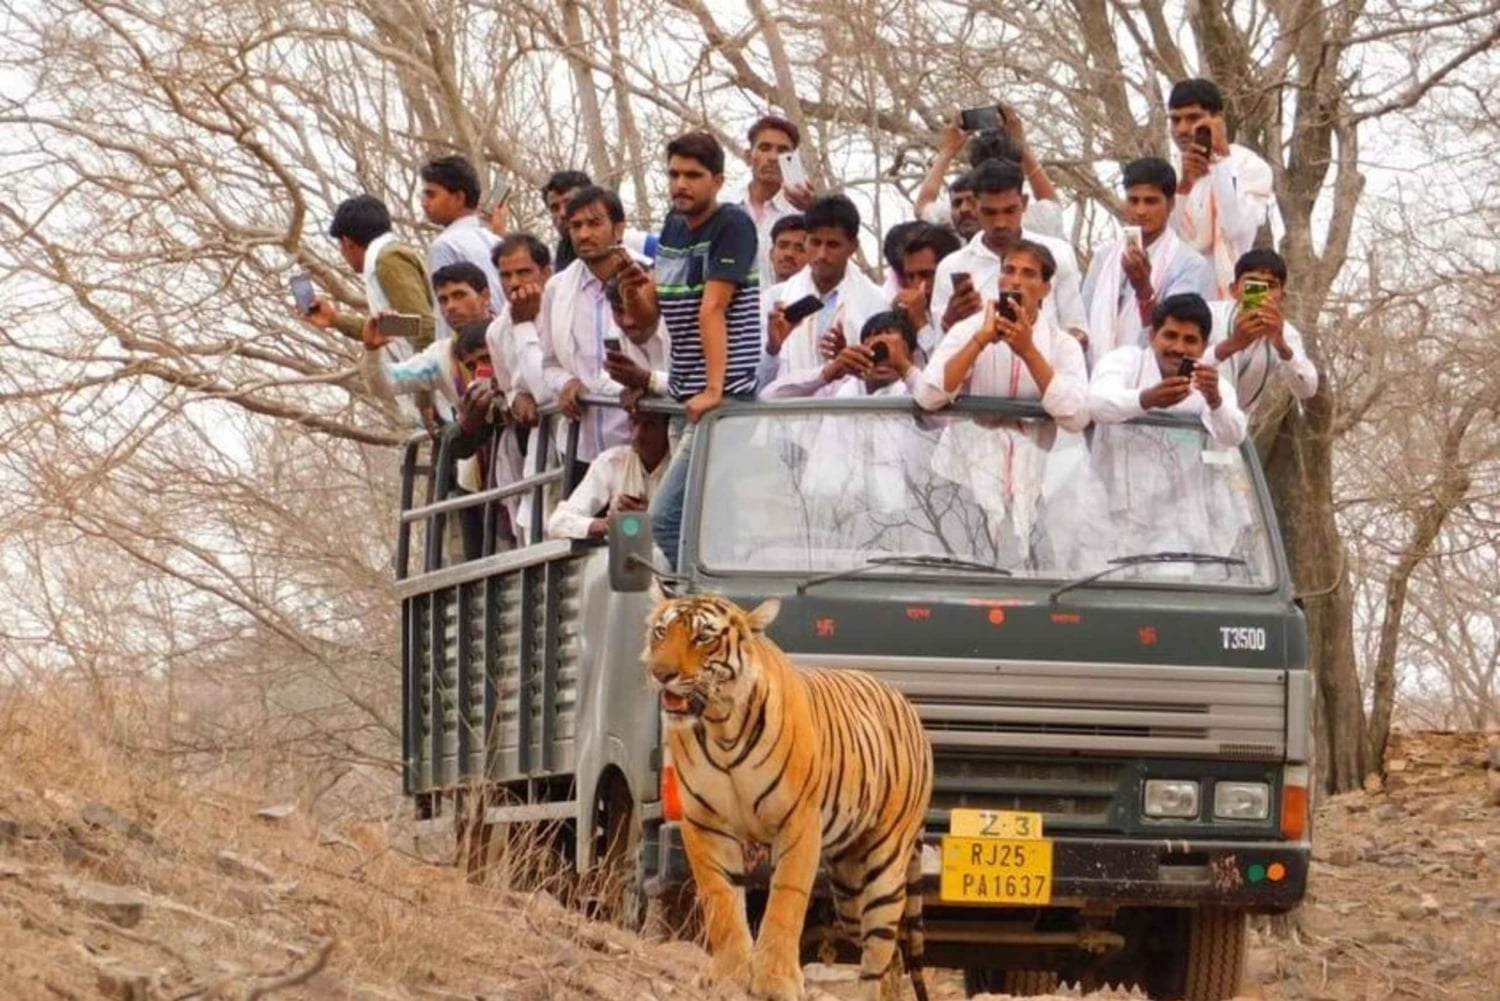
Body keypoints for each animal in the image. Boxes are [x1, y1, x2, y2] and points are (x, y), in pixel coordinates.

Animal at [643, 588, 934, 1001]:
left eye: (703, 637)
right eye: (661, 632)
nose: (660, 673)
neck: (721, 727)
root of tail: (905, 702)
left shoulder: (798, 820)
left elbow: (785, 899)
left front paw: (775, 980)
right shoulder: (705, 822)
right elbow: (721, 900)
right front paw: (729, 975)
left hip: (885, 864)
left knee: (879, 951)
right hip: (849, 888)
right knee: (889, 955)